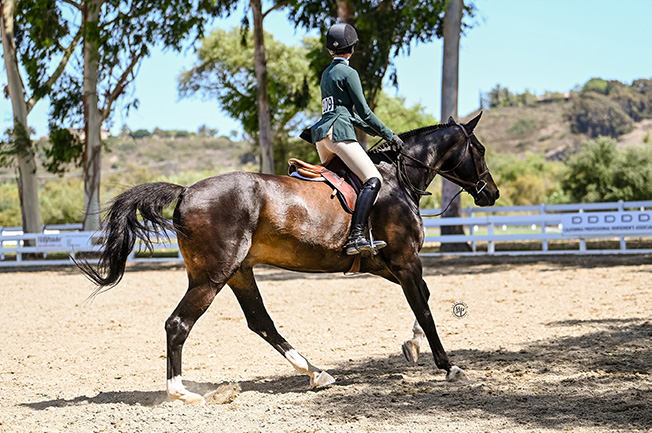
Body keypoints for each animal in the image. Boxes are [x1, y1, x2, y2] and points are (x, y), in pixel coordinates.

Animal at [79, 112, 502, 404]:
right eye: (479, 150)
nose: (491, 193)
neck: (397, 179)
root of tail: (185, 191)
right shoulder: (405, 260)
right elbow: (425, 309)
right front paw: (449, 366)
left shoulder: (388, 265)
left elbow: (423, 299)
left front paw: (412, 346)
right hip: (212, 276)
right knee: (178, 324)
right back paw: (181, 393)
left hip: (239, 272)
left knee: (260, 322)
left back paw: (315, 373)